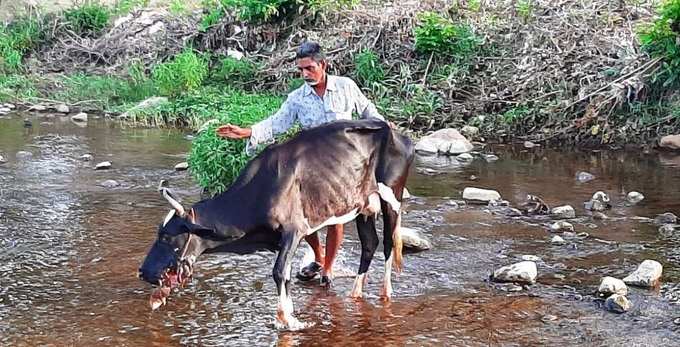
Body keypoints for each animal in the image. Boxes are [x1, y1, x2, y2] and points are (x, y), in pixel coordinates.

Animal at [139, 119, 414, 332]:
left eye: (166, 236)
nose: (142, 272)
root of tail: (398, 133)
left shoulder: (294, 229)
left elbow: (279, 271)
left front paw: (288, 319)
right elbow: (286, 273)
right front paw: (289, 313)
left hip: (392, 198)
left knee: (388, 244)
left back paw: (385, 293)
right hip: (362, 206)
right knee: (369, 244)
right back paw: (356, 294)